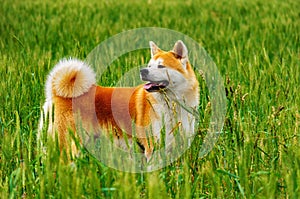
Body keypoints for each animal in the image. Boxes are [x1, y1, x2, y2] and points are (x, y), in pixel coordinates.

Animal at [39, 40, 199, 160]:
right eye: (149, 65)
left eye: (160, 66)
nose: (143, 71)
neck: (172, 105)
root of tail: (56, 93)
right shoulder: (152, 147)